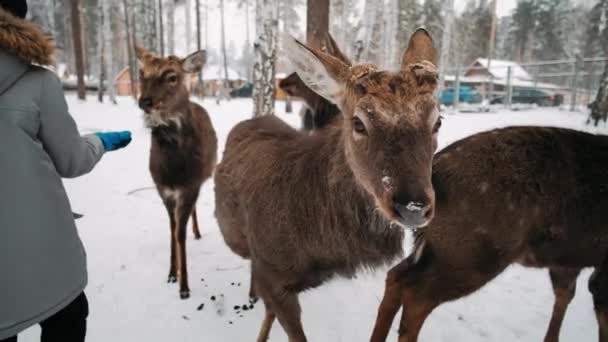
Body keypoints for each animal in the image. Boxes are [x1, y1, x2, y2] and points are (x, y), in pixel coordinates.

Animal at [136, 46, 218, 300]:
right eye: (142, 74)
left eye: (172, 76)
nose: (145, 101)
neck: (174, 172)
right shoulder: (164, 190)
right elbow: (172, 231)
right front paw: (172, 273)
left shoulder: (190, 185)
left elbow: (180, 233)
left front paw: (184, 287)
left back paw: (197, 232)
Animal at [368, 126, 608, 342]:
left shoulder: (568, 260)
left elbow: (566, 294)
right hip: (473, 254)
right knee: (416, 296)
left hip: (437, 246)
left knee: (396, 275)